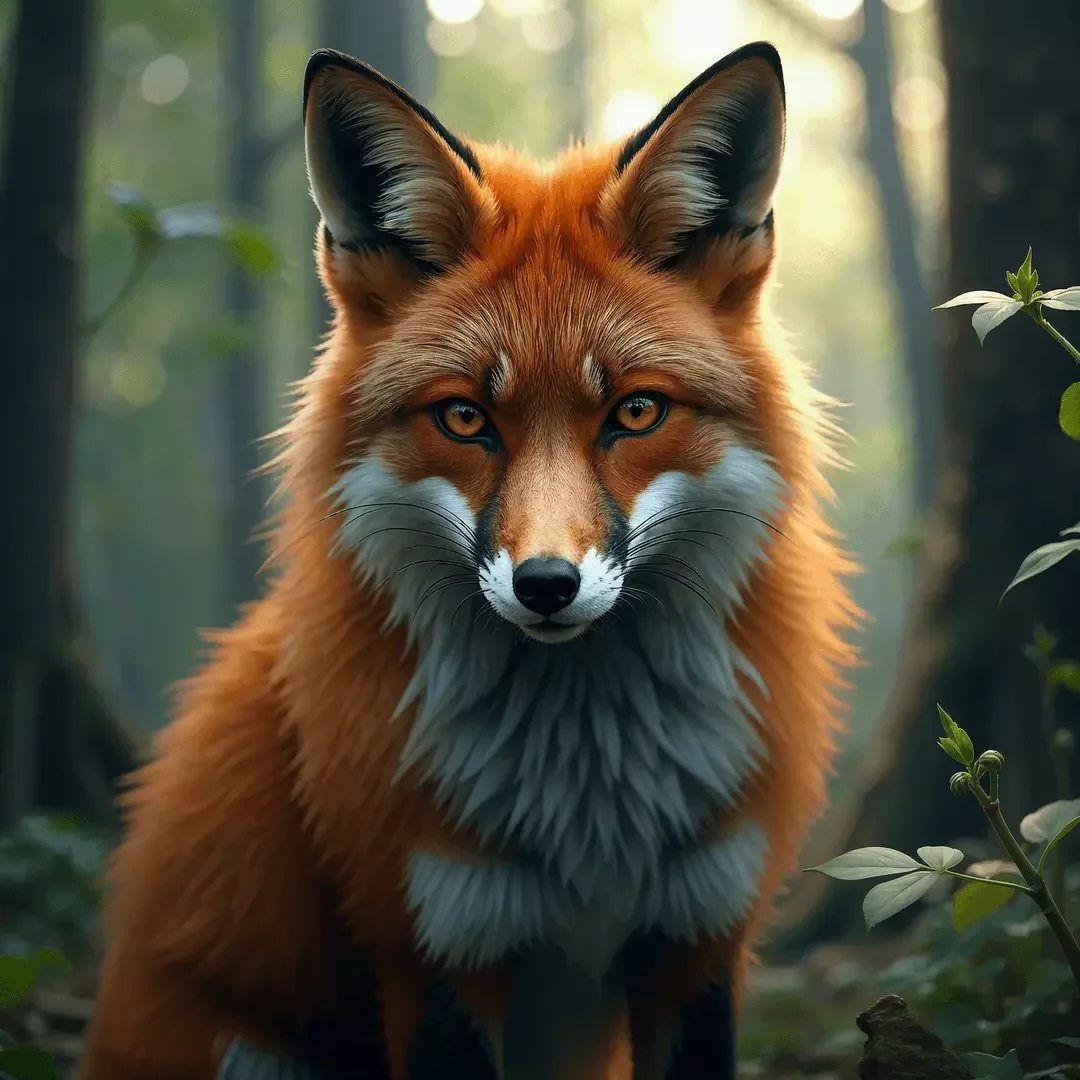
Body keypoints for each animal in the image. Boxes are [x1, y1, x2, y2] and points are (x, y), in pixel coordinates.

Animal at [78, 40, 858, 1080]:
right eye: (463, 417)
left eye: (636, 411)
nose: (547, 586)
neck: (587, 803)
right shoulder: (435, 943)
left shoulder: (699, 937)